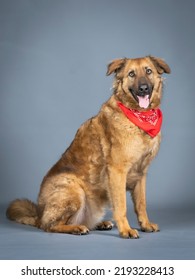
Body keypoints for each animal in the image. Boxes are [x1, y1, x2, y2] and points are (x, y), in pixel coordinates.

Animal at [6, 55, 171, 238]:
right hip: (74, 189)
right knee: (50, 225)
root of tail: (39, 215)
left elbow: (141, 204)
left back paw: (100, 223)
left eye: (148, 71)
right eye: (131, 74)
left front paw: (145, 224)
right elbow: (121, 205)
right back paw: (76, 228)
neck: (138, 117)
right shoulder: (117, 171)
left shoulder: (141, 174)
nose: (143, 88)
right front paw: (126, 229)